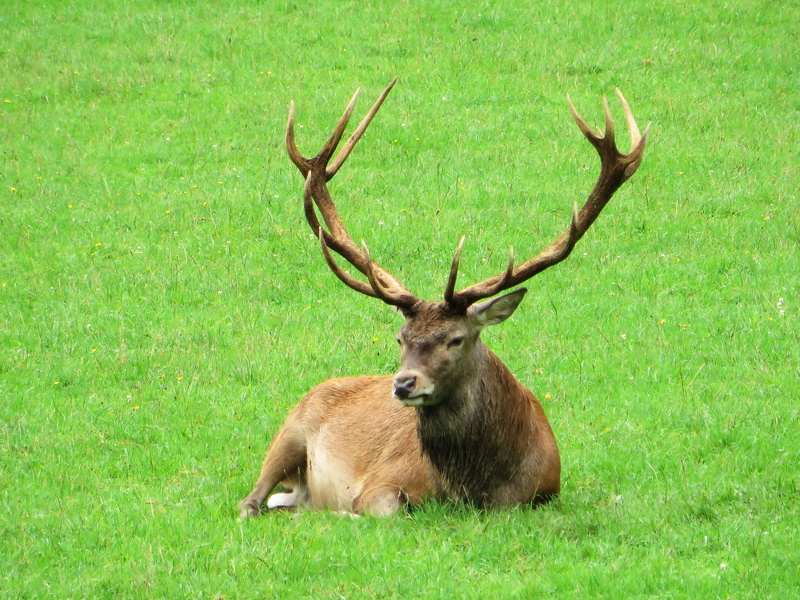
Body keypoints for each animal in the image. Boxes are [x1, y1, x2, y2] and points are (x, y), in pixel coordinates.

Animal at [239, 78, 649, 518]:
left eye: (456, 339)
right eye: (400, 338)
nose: (403, 384)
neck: (469, 490)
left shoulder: (544, 493)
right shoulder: (379, 483)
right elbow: (383, 508)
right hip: (290, 430)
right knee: (250, 501)